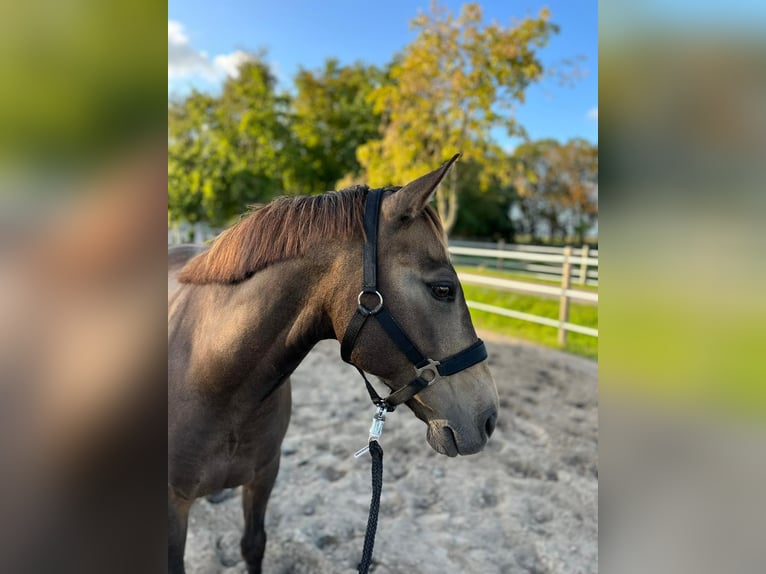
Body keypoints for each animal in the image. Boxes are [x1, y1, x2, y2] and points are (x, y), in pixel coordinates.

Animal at [169, 155, 500, 572]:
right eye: (443, 289)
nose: (489, 418)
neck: (212, 379)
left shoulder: (264, 477)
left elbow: (253, 544)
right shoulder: (173, 506)